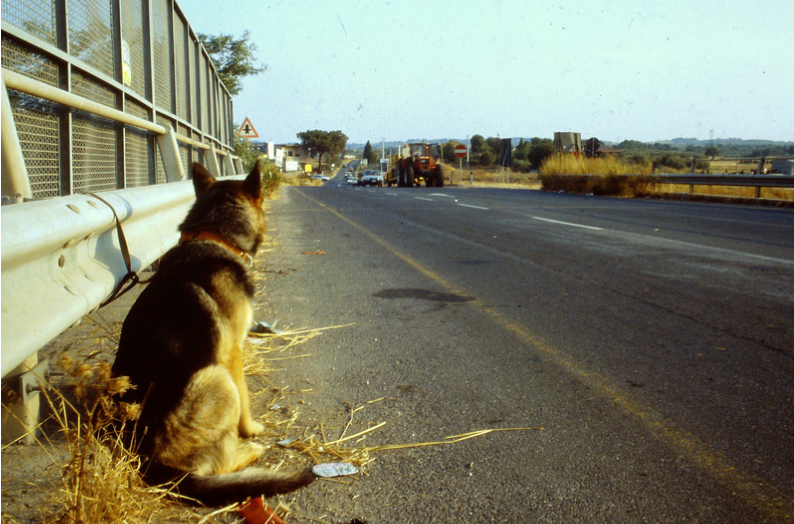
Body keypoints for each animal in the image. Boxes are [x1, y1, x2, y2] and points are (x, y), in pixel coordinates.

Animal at [112, 163, 316, 504]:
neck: (215, 236)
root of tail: (149, 462)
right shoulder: (233, 352)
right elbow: (246, 399)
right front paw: (251, 429)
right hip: (216, 377)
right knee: (216, 463)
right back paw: (250, 450)